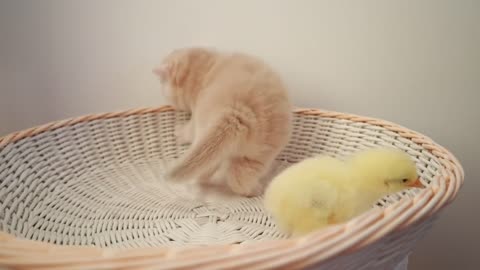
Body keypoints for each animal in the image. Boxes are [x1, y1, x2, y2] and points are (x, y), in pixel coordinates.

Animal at [154, 48, 290, 196]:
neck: (201, 69)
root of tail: (236, 110)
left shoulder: (195, 115)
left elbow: (189, 130)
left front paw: (179, 132)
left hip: (206, 134)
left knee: (213, 174)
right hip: (258, 154)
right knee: (237, 177)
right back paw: (254, 190)